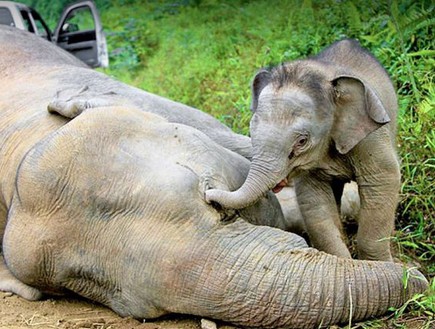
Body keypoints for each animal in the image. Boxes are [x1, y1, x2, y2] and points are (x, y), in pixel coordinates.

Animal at [207, 38, 402, 260]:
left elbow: (382, 181)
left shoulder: (371, 137)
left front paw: (382, 263)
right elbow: (314, 201)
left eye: (301, 141)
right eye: (251, 132)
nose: (208, 195)